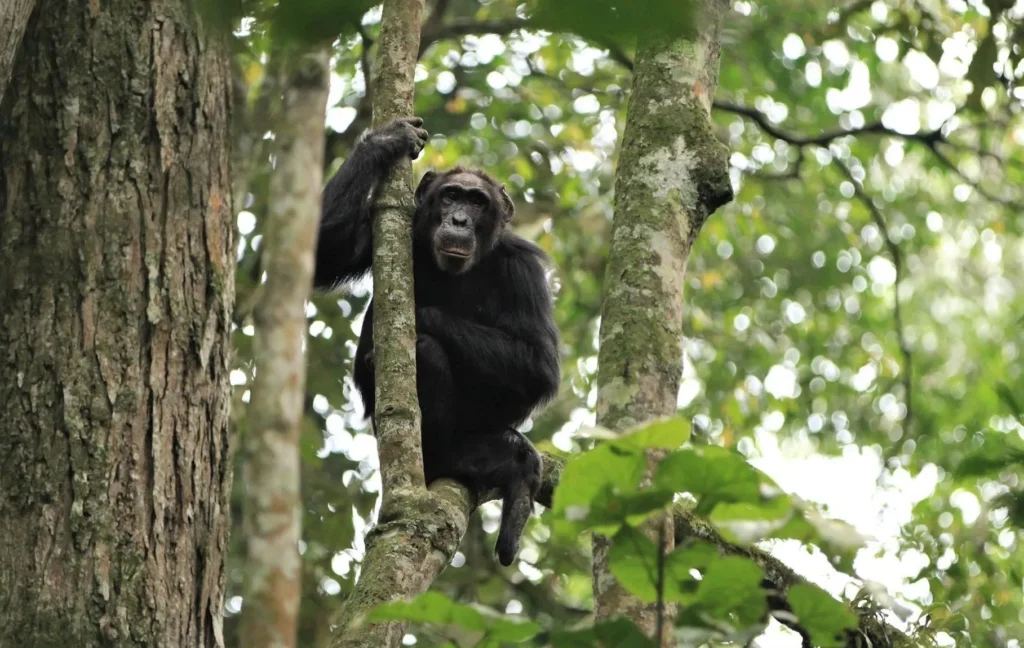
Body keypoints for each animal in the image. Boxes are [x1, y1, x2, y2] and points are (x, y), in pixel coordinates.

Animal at [317, 117, 565, 565]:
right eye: (451, 195)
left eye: (478, 202)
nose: (460, 219)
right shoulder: (388, 228)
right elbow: (325, 250)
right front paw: (385, 140)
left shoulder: (523, 269)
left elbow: (539, 363)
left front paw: (420, 316)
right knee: (428, 354)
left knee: (428, 349)